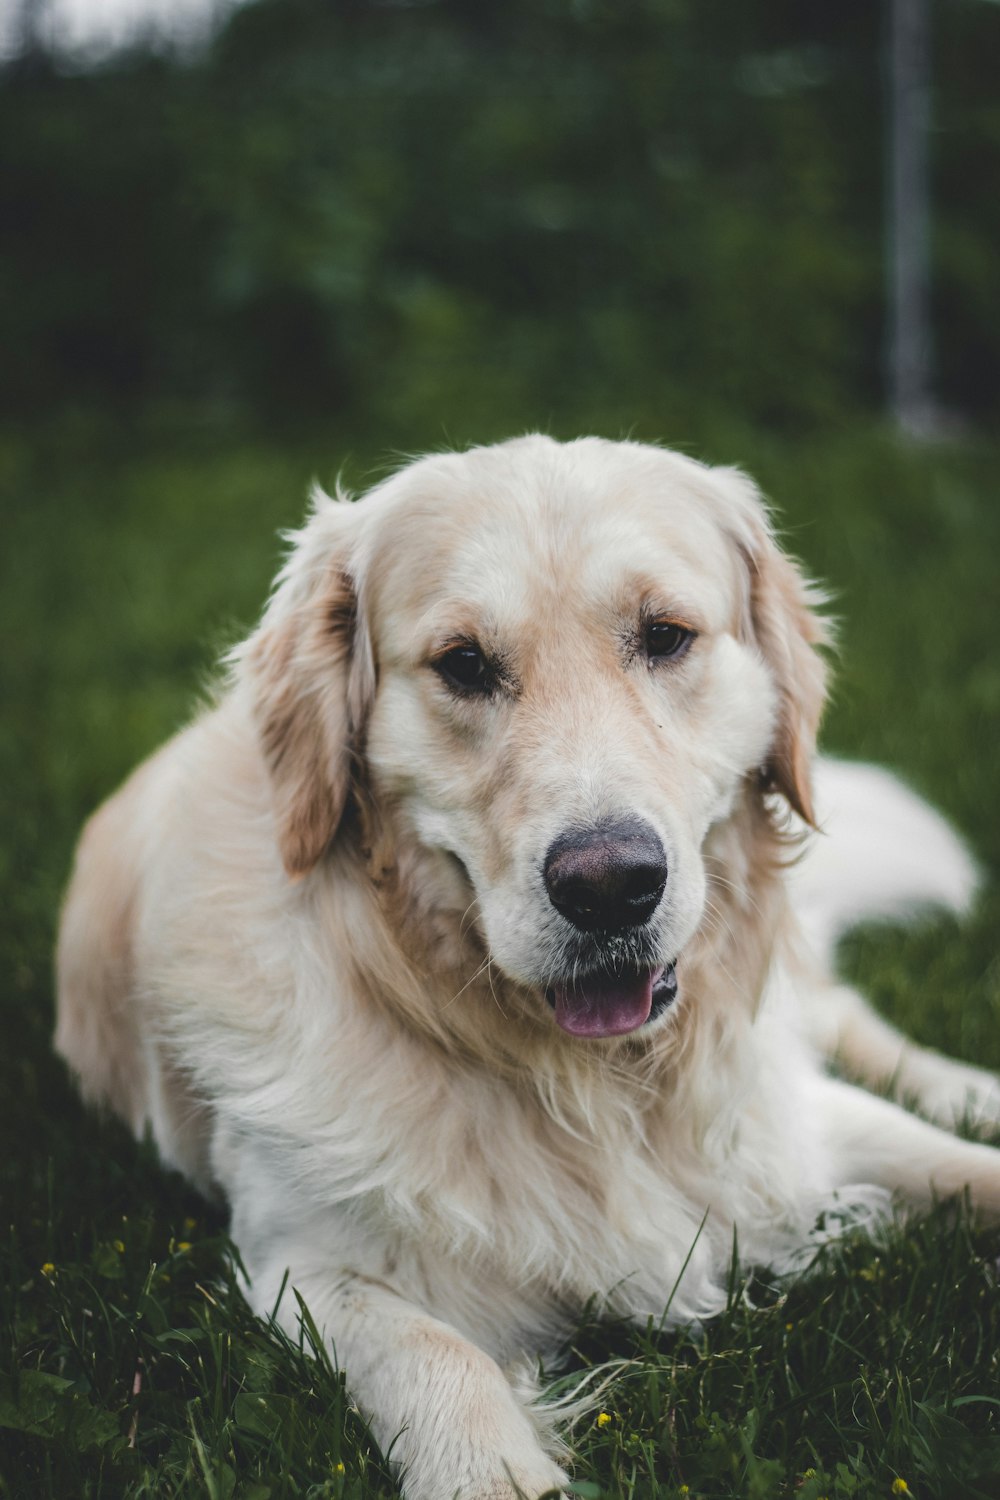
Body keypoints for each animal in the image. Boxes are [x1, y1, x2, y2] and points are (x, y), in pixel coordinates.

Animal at [54, 438, 1000, 1500]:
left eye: (665, 637)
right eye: (464, 663)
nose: (610, 886)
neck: (599, 1088)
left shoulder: (779, 1129)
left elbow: (959, 1166)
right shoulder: (304, 1266)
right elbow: (442, 1361)